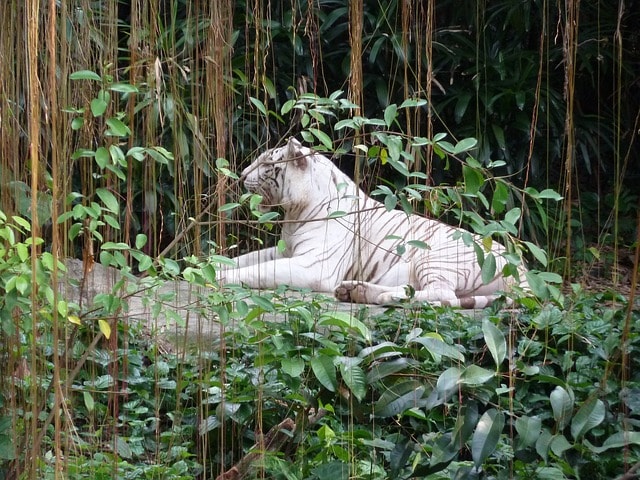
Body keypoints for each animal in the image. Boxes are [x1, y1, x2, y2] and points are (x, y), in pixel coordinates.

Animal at [220, 137, 528, 308]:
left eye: (265, 164)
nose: (240, 174)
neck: (295, 212)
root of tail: (523, 269)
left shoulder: (314, 265)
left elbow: (259, 271)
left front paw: (220, 278)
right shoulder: (286, 250)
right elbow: (245, 259)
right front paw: (210, 265)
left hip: (437, 257)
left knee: (443, 295)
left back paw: (381, 298)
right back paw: (356, 291)